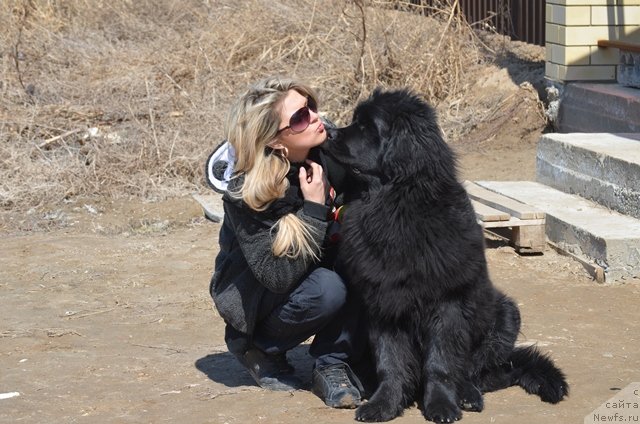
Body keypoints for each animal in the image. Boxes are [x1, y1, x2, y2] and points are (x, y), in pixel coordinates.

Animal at [322, 88, 568, 422]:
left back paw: (467, 395)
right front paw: (383, 404)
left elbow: (441, 363)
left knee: (477, 372)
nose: (329, 132)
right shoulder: (385, 304)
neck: (397, 201)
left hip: (506, 314)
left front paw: (441, 405)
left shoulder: (446, 303)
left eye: (367, 126)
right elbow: (391, 361)